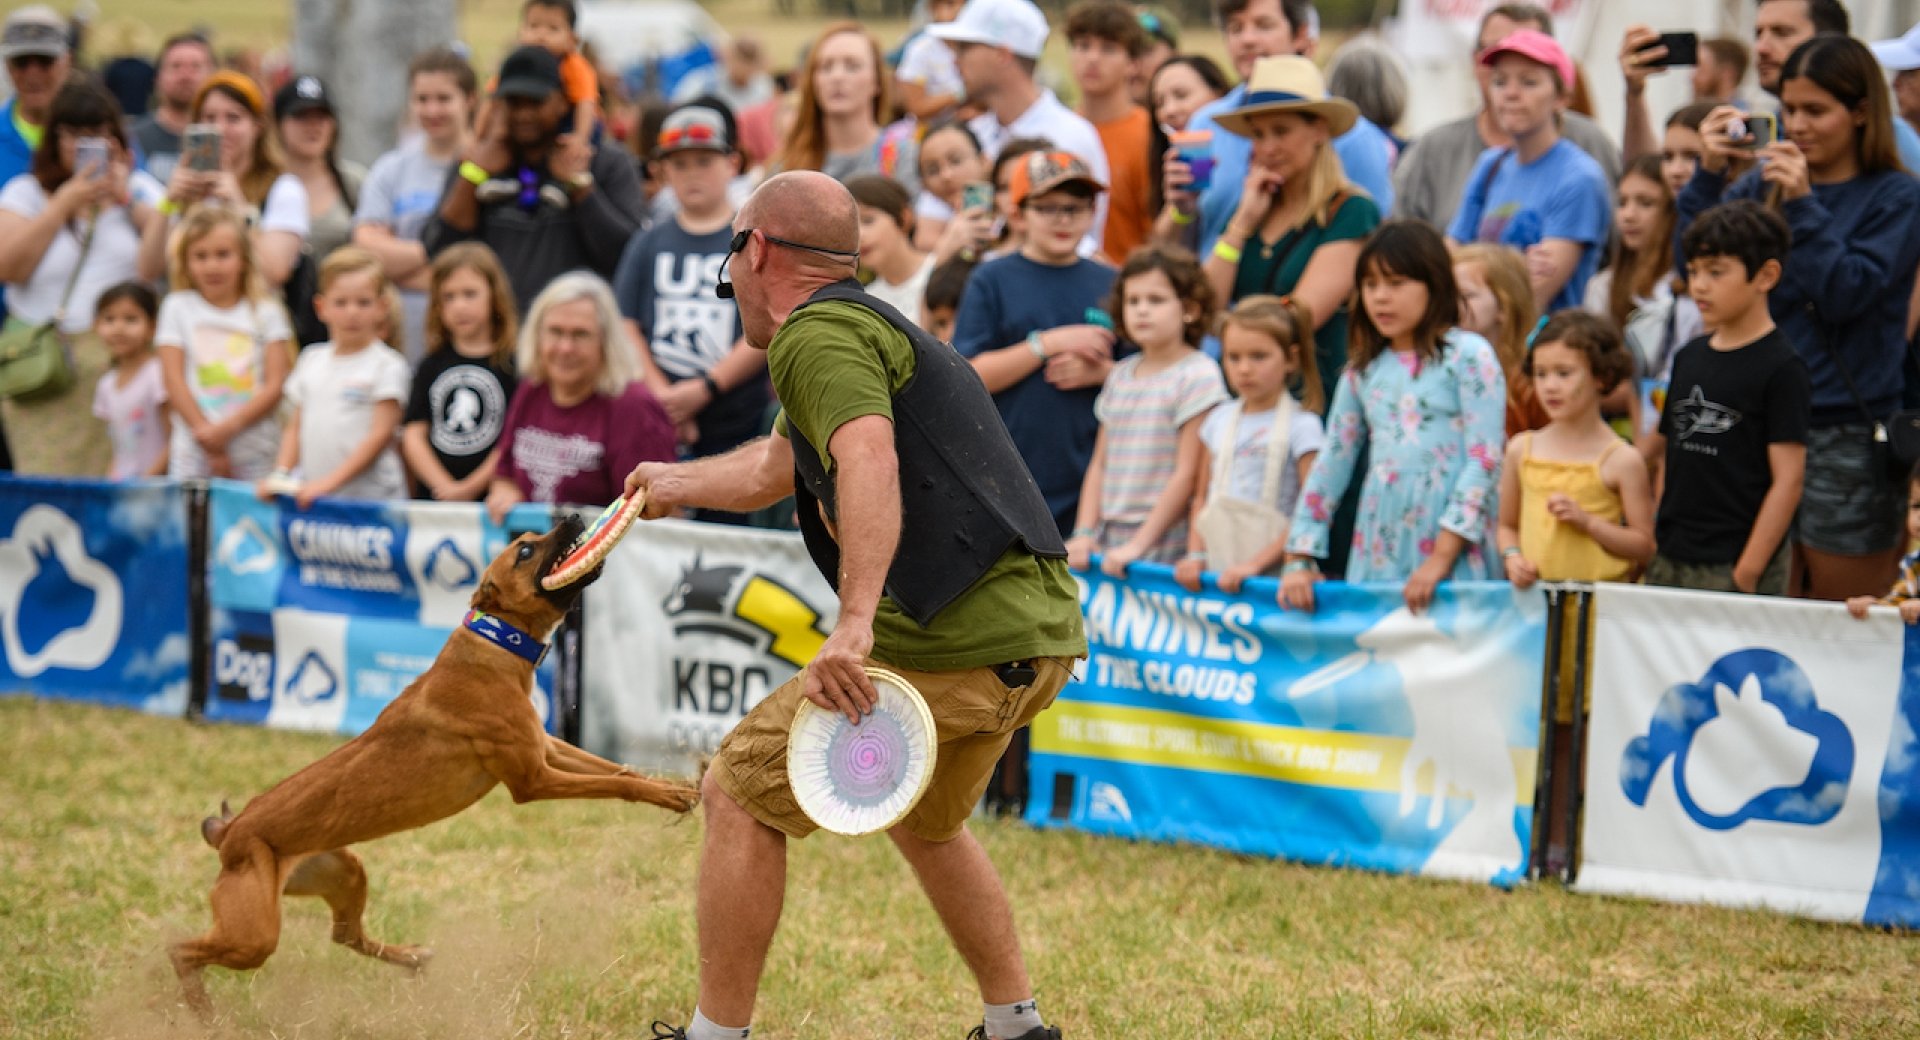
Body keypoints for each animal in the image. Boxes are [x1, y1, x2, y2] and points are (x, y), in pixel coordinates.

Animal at [170, 518, 698, 1020]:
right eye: (525, 550)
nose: (571, 515)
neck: (494, 644)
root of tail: (230, 833)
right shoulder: (533, 779)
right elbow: (611, 781)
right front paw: (669, 795)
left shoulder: (545, 747)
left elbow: (620, 771)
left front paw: (675, 787)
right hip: (254, 933)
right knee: (182, 950)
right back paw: (200, 1010)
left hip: (343, 872)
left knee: (345, 936)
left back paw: (412, 957)